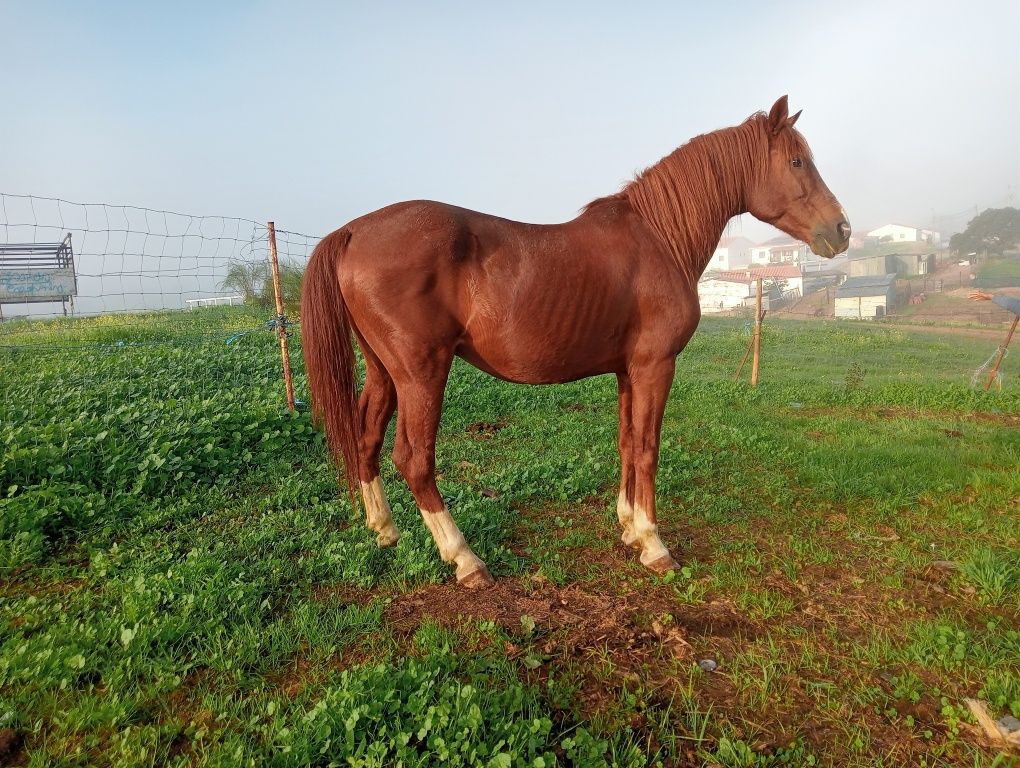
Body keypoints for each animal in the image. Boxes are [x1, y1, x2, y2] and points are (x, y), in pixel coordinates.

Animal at [303, 95, 852, 587]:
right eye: (797, 161)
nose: (842, 229)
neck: (658, 238)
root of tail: (352, 231)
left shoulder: (629, 371)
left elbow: (627, 442)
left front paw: (629, 528)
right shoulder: (656, 366)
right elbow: (648, 447)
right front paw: (654, 544)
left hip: (384, 371)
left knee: (366, 439)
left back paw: (384, 531)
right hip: (422, 373)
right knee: (415, 459)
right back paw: (464, 558)